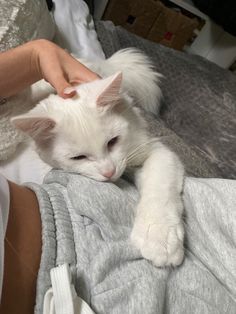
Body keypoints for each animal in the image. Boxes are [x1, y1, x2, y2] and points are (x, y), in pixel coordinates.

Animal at [11, 49, 184, 268]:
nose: (109, 172)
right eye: (78, 157)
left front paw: (159, 237)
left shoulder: (151, 149)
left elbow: (160, 185)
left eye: (113, 142)